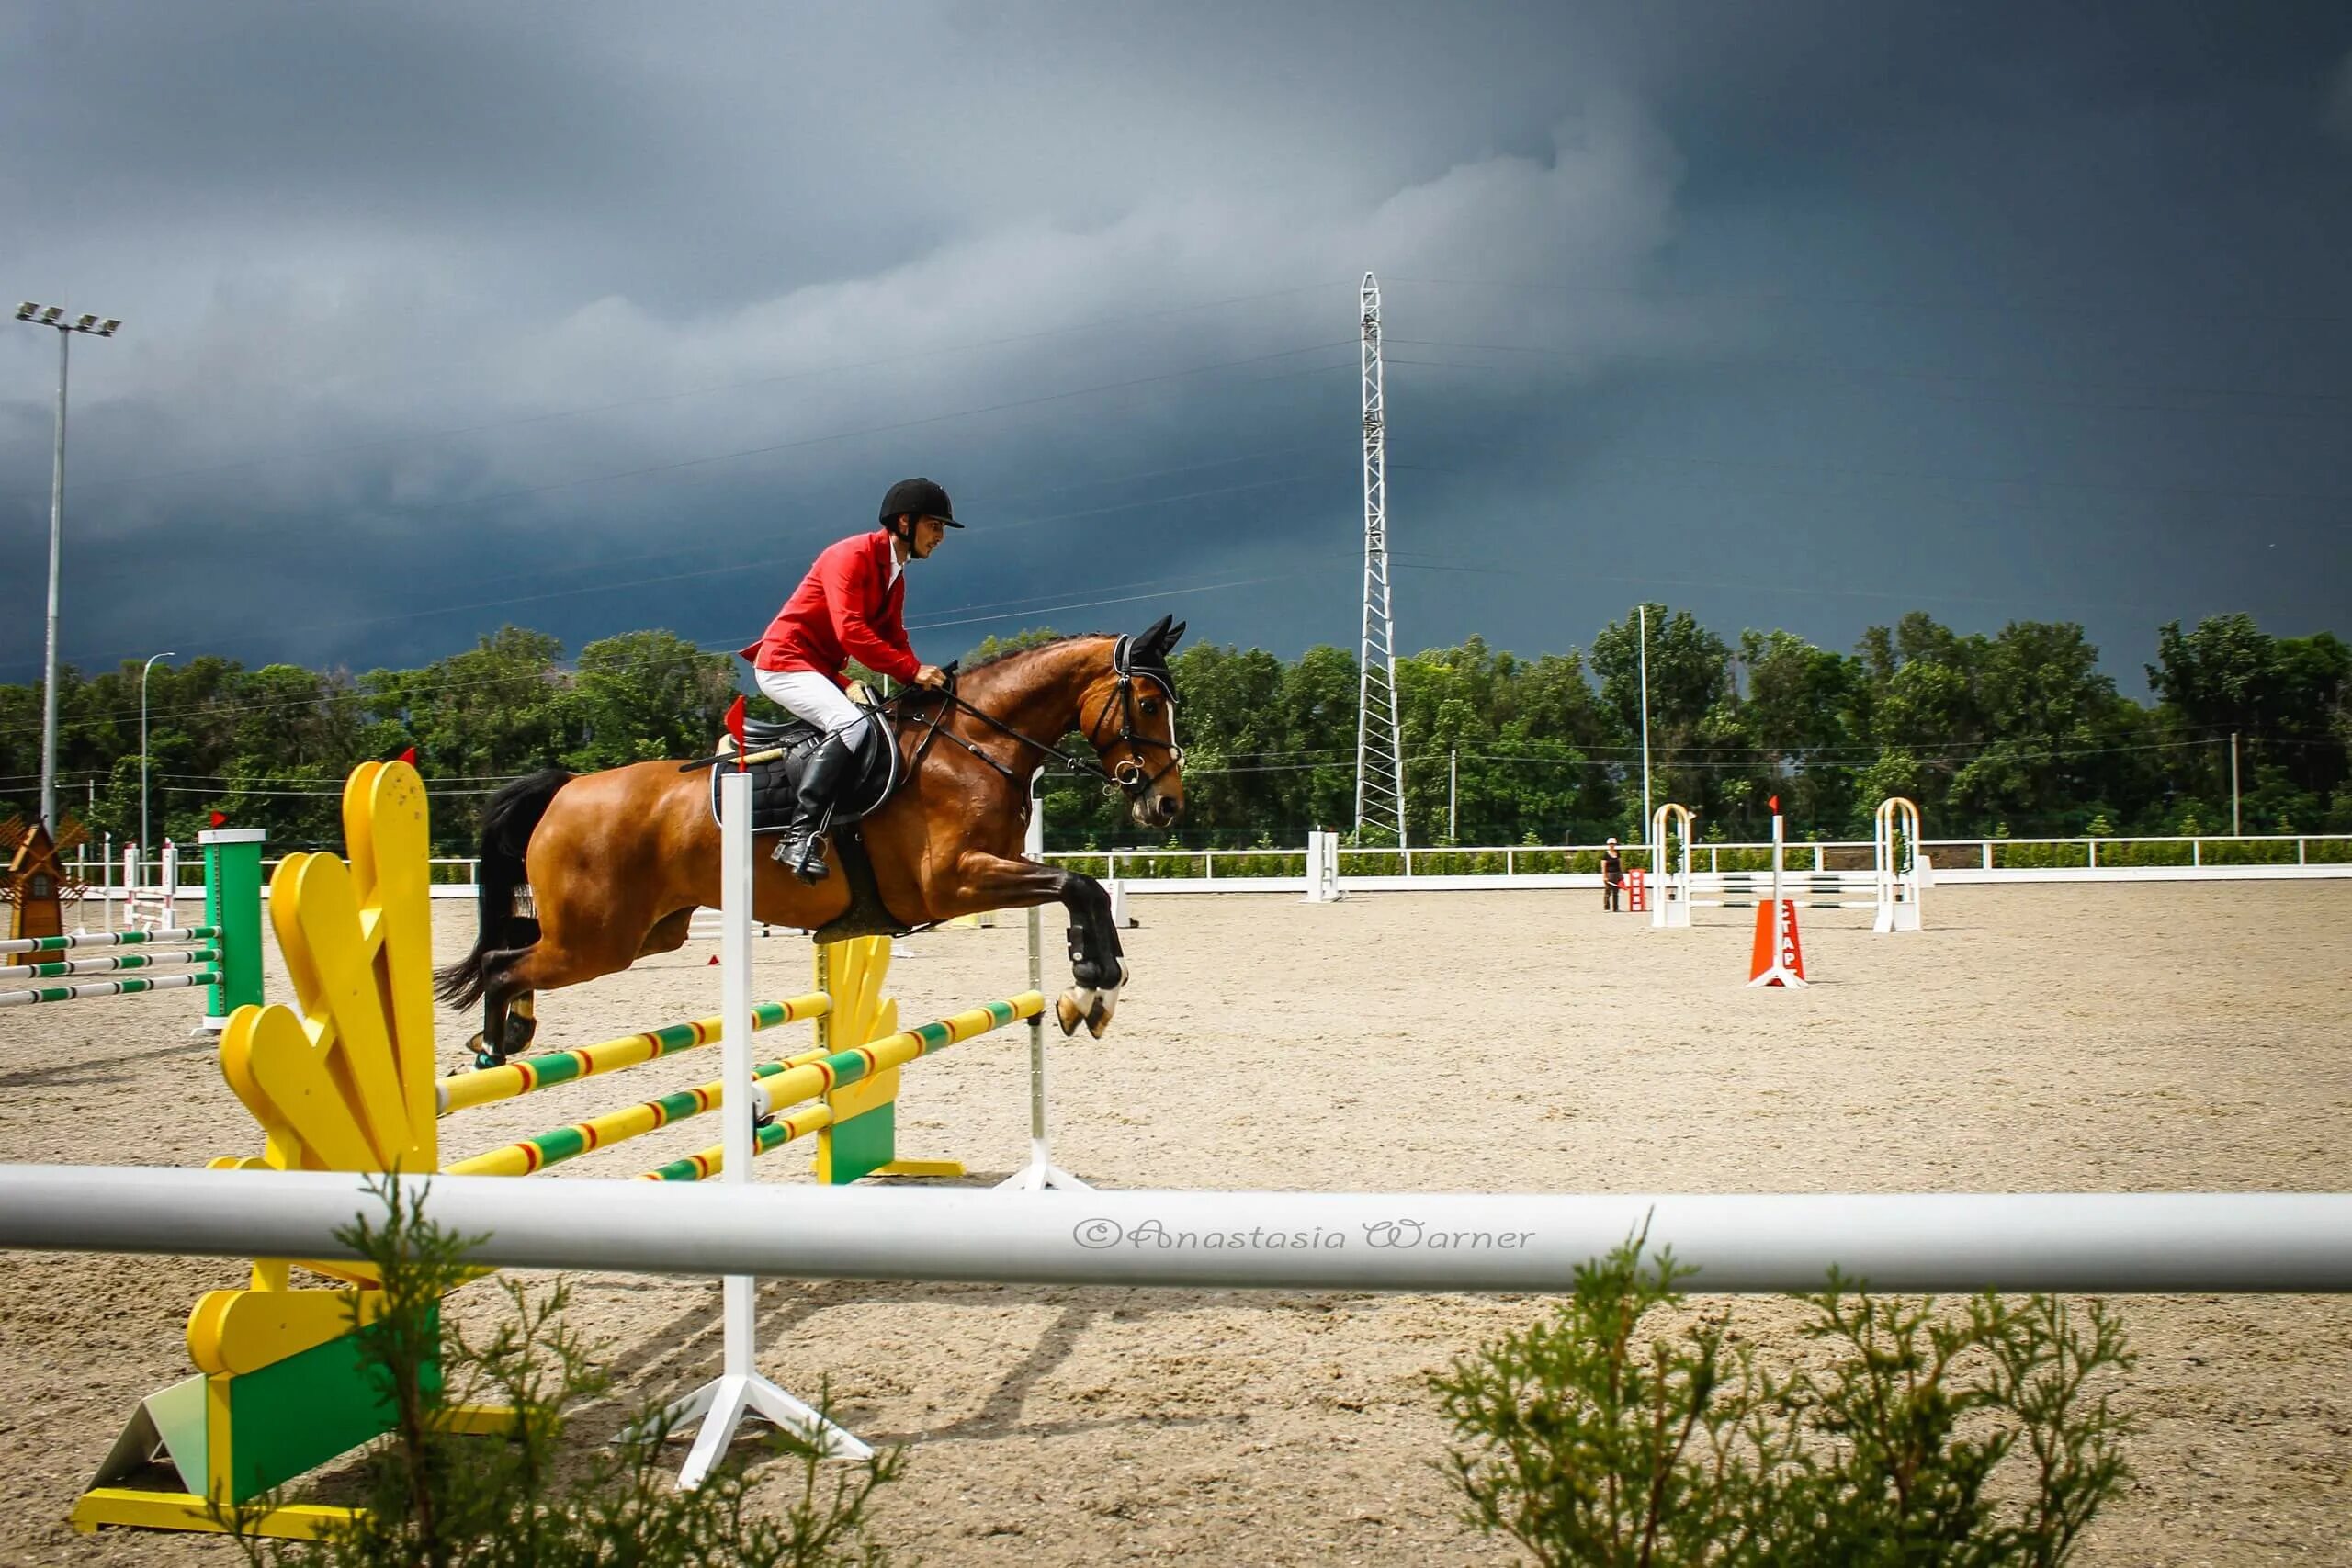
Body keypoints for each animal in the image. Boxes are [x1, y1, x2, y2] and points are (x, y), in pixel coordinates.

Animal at [433, 620, 1185, 1062]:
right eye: (1149, 704)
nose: (1167, 803)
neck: (975, 743)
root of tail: (566, 788)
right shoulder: (955, 880)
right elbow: (1079, 886)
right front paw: (1091, 990)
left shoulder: (998, 866)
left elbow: (1084, 894)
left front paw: (1092, 994)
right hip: (596, 941)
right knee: (502, 963)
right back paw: (493, 1051)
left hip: (644, 932)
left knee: (512, 951)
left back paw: (507, 1033)